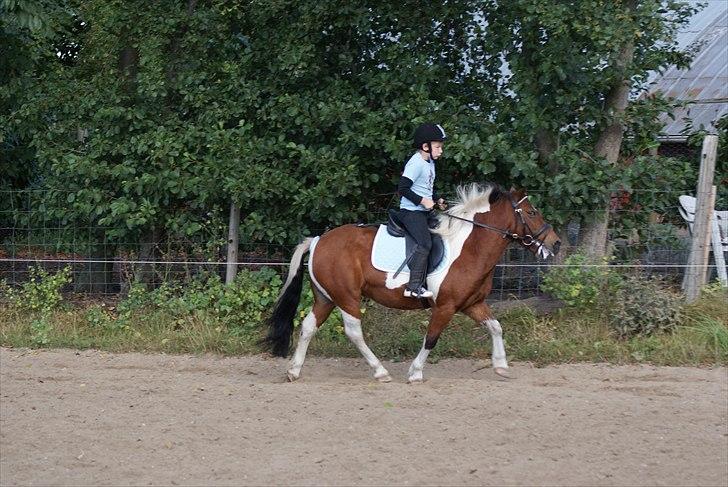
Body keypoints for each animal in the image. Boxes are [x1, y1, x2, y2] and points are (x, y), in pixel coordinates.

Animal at [264, 183, 561, 383]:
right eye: (532, 212)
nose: (556, 243)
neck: (469, 247)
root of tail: (317, 240)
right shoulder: (445, 307)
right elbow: (431, 338)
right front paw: (415, 372)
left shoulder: (472, 304)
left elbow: (496, 327)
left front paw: (501, 366)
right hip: (347, 297)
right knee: (353, 331)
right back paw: (380, 371)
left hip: (326, 297)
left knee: (308, 326)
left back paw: (293, 371)